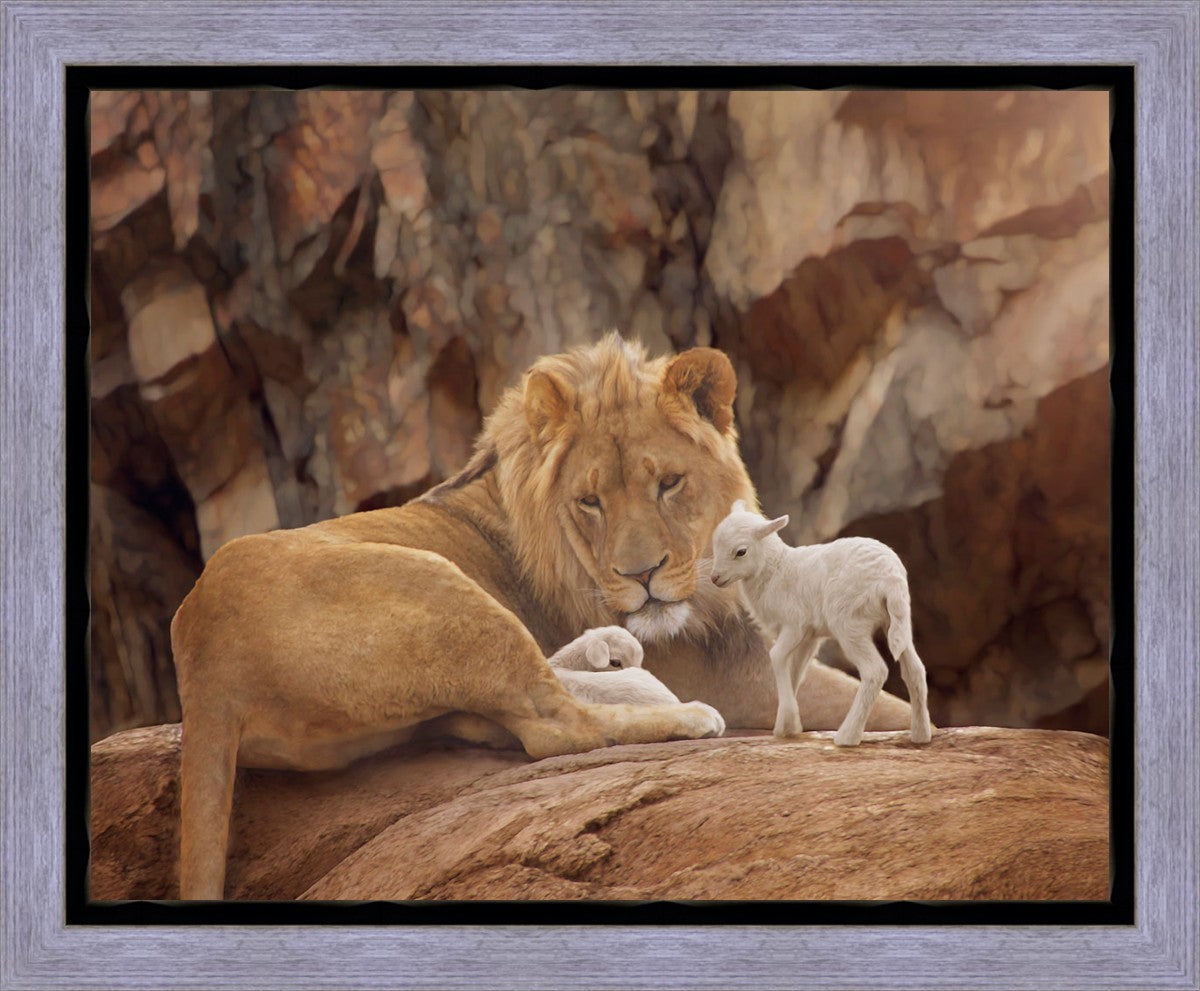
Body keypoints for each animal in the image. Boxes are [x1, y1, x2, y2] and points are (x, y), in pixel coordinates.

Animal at [710, 501, 932, 747]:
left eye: (741, 551)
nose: (715, 578)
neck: (775, 570)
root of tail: (890, 578)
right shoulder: (810, 636)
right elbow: (796, 671)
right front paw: (787, 726)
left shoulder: (795, 624)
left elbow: (776, 656)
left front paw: (788, 721)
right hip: (898, 621)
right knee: (915, 670)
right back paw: (921, 735)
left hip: (849, 623)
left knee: (875, 671)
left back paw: (847, 736)